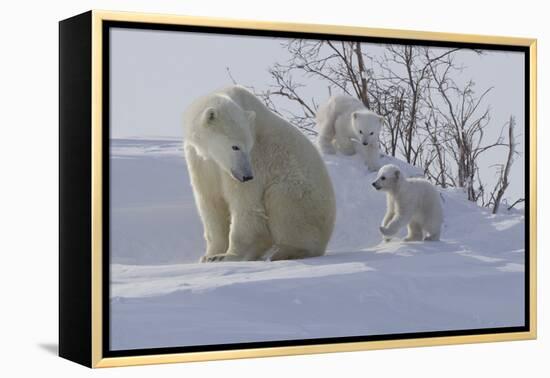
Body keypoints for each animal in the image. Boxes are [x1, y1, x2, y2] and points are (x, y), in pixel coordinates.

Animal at [183, 85, 336, 262]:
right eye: (235, 146)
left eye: (248, 146)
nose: (247, 176)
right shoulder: (201, 161)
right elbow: (210, 200)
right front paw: (210, 255)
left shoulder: (257, 159)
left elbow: (246, 204)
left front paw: (228, 256)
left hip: (306, 199)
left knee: (281, 199)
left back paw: (284, 252)